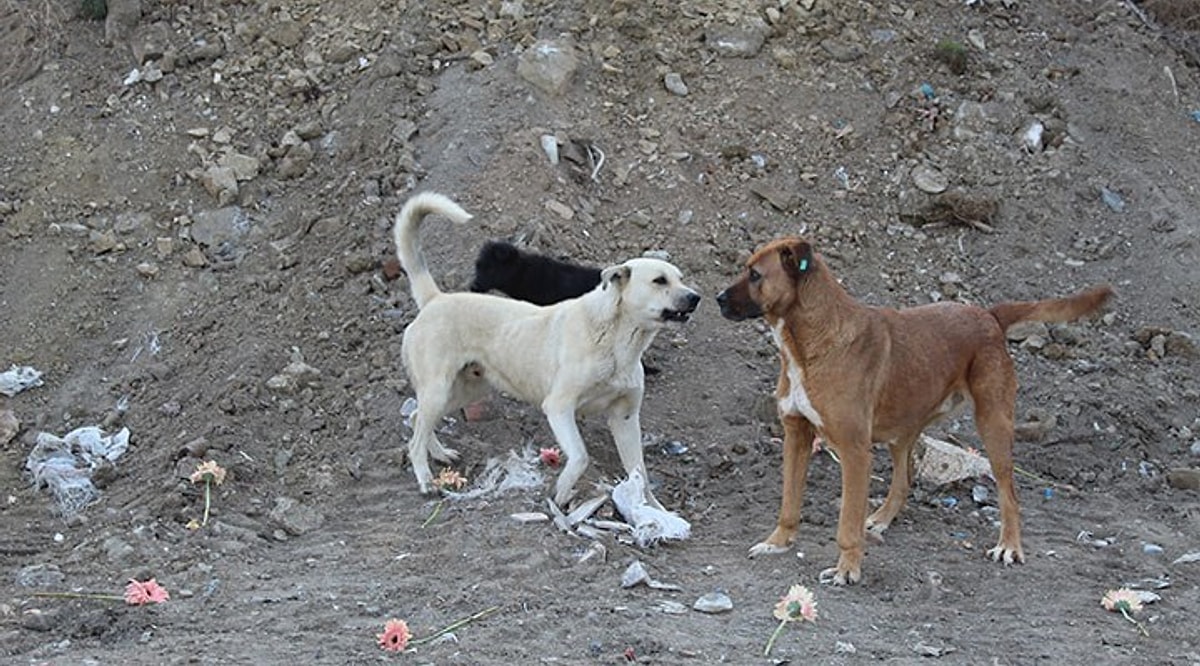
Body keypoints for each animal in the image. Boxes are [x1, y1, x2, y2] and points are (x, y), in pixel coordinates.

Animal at [715, 237, 1108, 585]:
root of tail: (988, 315)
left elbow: (846, 526)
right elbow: (789, 504)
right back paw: (881, 518)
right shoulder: (796, 437)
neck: (810, 343)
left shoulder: (854, 452)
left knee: (1009, 494)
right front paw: (778, 543)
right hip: (904, 429)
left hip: (993, 425)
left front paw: (847, 569)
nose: (717, 299)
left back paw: (1009, 546)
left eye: (755, 275)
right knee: (903, 482)